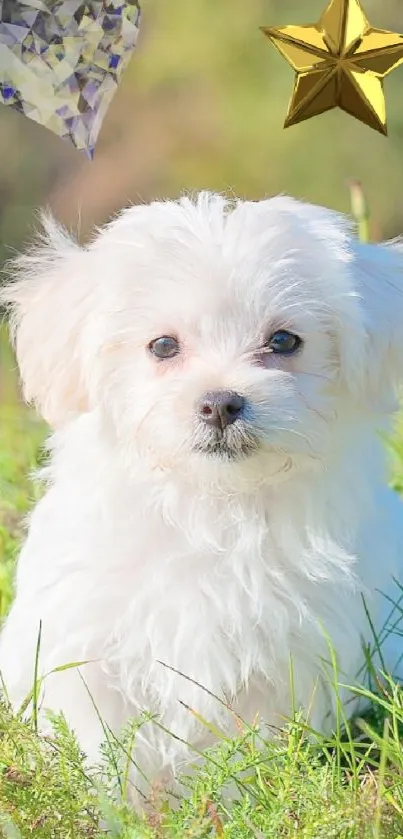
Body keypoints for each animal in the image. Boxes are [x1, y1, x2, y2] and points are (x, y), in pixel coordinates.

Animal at [0, 192, 403, 800]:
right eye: (163, 345)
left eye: (284, 341)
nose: (220, 403)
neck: (214, 506)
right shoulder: (85, 643)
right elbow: (100, 744)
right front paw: (119, 807)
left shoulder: (290, 657)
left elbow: (249, 749)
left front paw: (232, 800)